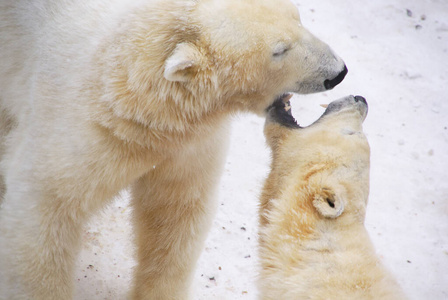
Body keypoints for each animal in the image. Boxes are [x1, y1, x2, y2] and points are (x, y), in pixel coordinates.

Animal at [0, 0, 346, 298]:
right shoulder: (81, 128)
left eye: (298, 16)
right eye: (279, 50)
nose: (338, 72)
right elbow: (46, 210)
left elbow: (174, 213)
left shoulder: (188, 145)